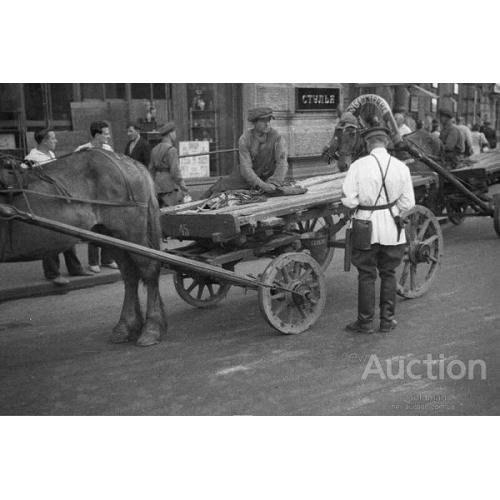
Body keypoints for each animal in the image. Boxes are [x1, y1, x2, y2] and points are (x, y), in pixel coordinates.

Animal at [0, 148, 168, 348]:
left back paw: (152, 328)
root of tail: (129, 162)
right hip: (111, 236)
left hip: (131, 232)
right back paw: (125, 326)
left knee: (149, 270)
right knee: (130, 275)